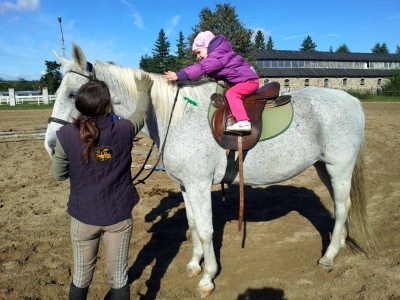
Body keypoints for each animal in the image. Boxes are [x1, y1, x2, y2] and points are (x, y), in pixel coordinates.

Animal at [44, 42, 376, 298]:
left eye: (73, 94)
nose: (51, 146)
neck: (175, 116)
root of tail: (353, 101)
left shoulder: (200, 184)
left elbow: (205, 230)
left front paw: (208, 277)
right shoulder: (186, 185)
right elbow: (193, 225)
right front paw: (194, 265)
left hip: (339, 166)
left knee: (342, 207)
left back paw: (329, 256)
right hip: (323, 167)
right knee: (343, 204)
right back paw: (340, 244)